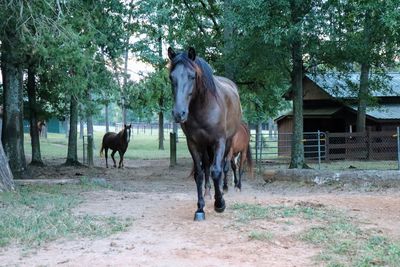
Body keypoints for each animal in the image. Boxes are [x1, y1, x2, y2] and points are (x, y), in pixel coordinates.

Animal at [168, 47, 242, 221]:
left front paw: (220, 204)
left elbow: (217, 171)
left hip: (227, 143)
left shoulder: (219, 141)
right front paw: (200, 208)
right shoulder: (193, 144)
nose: (179, 113)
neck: (203, 107)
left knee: (223, 167)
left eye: (192, 76)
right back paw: (209, 193)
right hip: (205, 146)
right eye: (171, 77)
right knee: (207, 166)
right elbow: (199, 174)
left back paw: (222, 191)